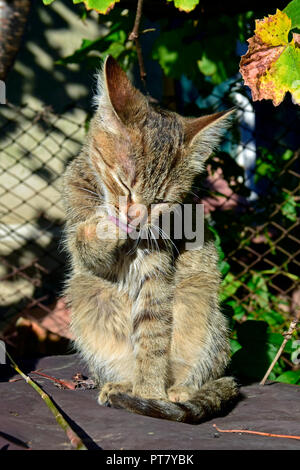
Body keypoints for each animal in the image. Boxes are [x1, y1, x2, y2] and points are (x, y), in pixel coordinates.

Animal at [63, 55, 239, 422]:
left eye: (160, 200)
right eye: (123, 182)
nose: (134, 217)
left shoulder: (157, 273)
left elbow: (152, 337)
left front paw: (150, 393)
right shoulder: (79, 232)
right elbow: (86, 242)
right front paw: (105, 226)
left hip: (201, 304)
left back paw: (177, 391)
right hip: (86, 296)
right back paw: (120, 385)